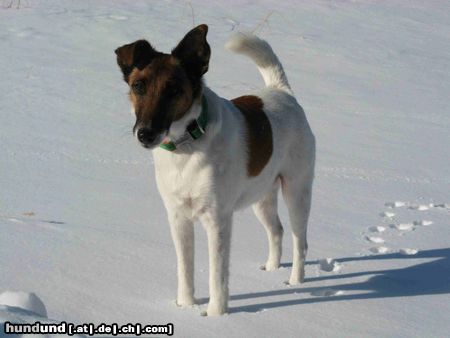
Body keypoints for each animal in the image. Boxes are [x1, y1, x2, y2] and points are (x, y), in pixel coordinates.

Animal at [114, 25, 314, 316]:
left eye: (174, 90)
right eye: (138, 86)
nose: (145, 134)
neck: (186, 146)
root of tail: (282, 91)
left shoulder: (217, 219)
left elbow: (217, 275)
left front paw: (216, 315)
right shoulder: (178, 217)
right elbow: (185, 268)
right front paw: (185, 305)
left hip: (297, 190)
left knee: (301, 241)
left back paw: (295, 282)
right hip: (261, 196)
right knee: (276, 230)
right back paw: (270, 269)